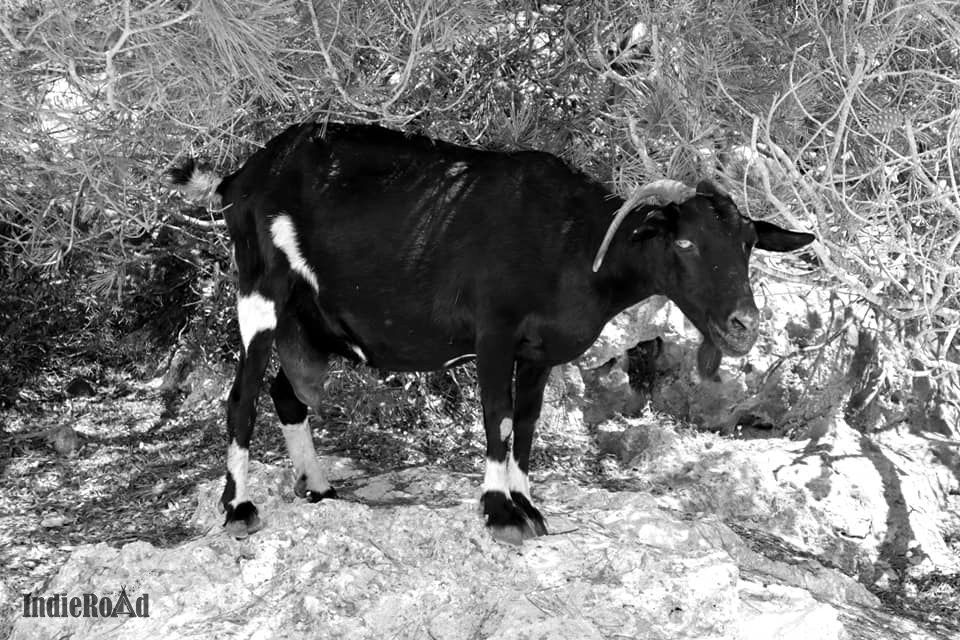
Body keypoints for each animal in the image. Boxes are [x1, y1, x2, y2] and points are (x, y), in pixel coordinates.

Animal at [169, 122, 812, 544]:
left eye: (748, 244)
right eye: (684, 242)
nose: (744, 325)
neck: (571, 244)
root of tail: (242, 176)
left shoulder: (540, 351)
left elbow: (525, 423)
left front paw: (527, 506)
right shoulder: (494, 333)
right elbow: (497, 418)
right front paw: (499, 515)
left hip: (314, 323)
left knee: (289, 393)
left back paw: (320, 488)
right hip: (260, 288)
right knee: (242, 397)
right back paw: (239, 509)